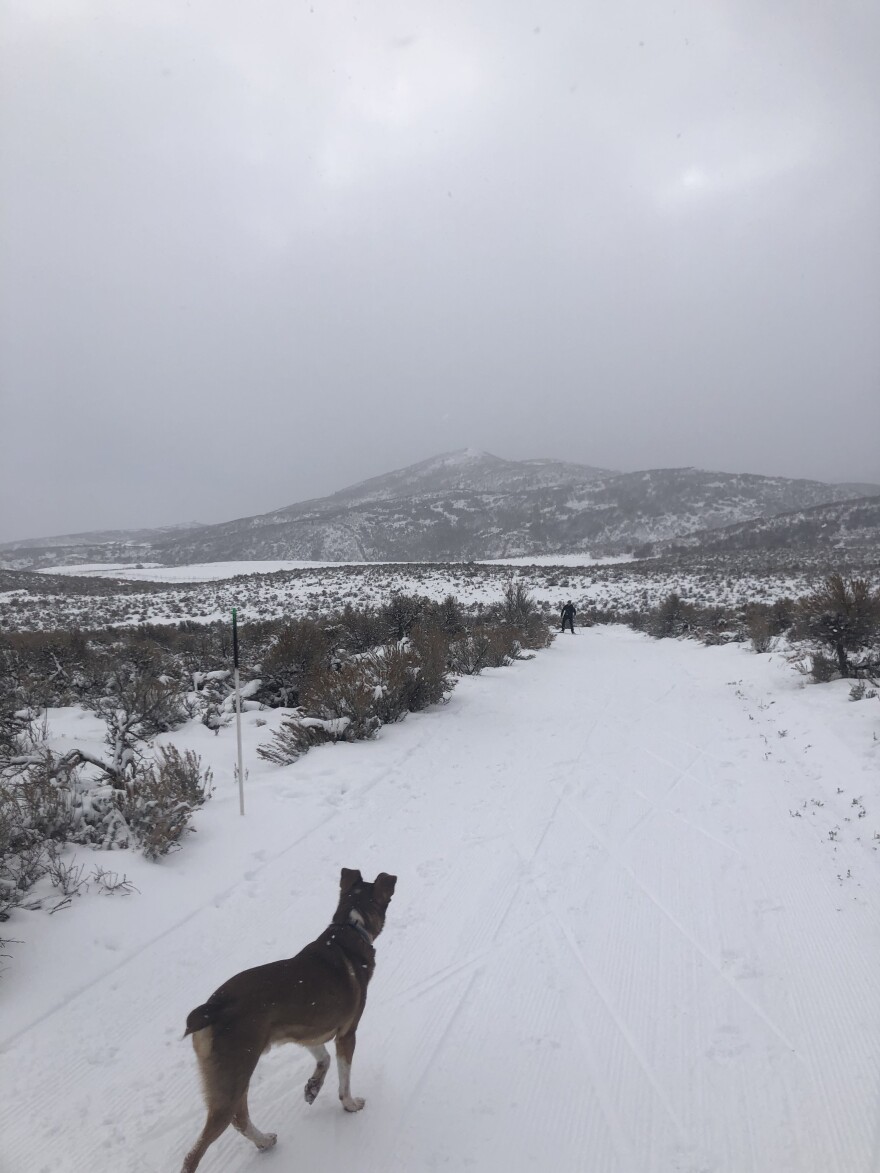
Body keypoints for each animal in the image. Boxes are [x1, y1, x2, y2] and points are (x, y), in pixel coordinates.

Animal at [179, 872, 396, 1173]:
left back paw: (264, 1142)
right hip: (234, 1074)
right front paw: (350, 1105)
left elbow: (324, 1059)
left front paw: (313, 1087)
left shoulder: (306, 1032)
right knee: (195, 1152)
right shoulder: (347, 1033)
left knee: (240, 1118)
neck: (349, 927)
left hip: (236, 1075)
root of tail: (212, 1007)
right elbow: (344, 1078)